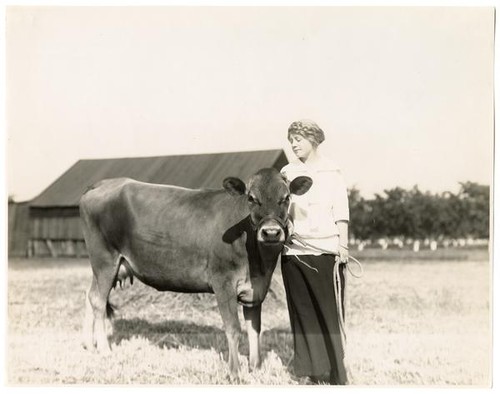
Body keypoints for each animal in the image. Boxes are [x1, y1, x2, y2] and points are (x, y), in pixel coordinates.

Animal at [79, 168, 312, 378]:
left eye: (286, 197)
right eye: (251, 198)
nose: (271, 232)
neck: (258, 263)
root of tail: (103, 183)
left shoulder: (255, 289)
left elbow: (254, 329)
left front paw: (255, 368)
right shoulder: (223, 282)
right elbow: (233, 328)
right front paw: (234, 373)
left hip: (108, 266)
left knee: (90, 296)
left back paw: (89, 345)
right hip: (104, 259)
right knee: (98, 300)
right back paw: (104, 350)